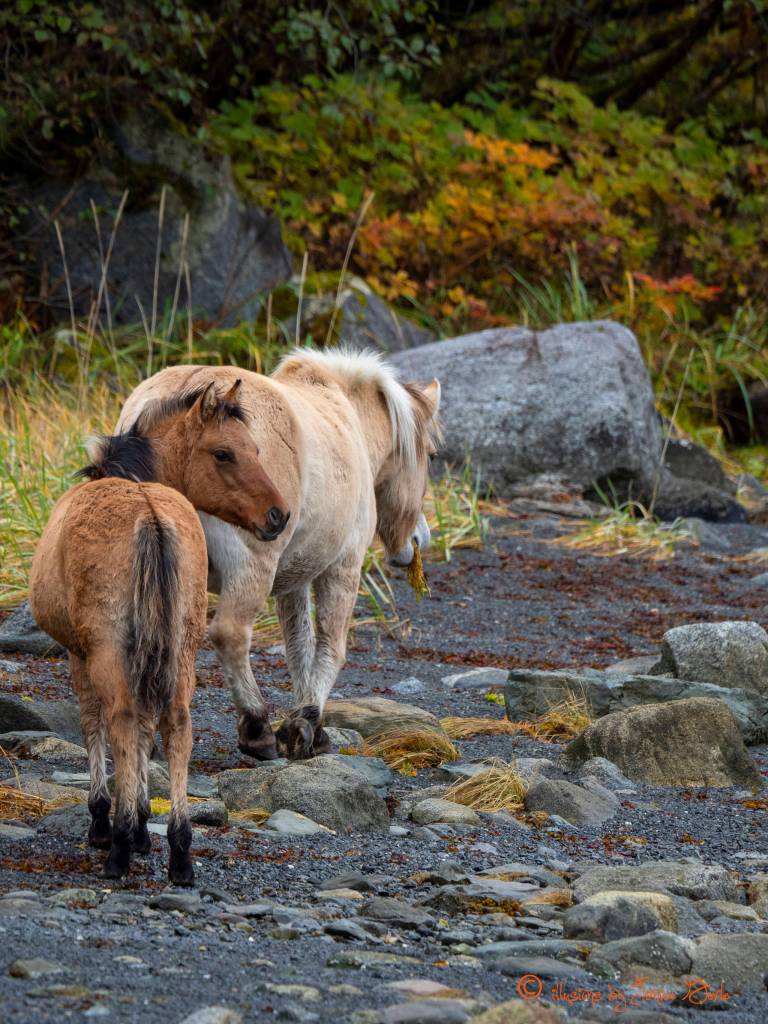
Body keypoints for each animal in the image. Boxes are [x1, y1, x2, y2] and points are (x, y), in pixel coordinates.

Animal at [29, 383, 290, 883]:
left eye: (254, 450)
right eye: (225, 452)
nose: (279, 516)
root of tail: (149, 515)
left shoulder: (79, 654)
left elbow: (96, 727)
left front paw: (110, 822)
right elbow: (148, 737)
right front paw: (145, 824)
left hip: (110, 651)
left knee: (122, 719)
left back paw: (118, 845)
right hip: (180, 649)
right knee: (177, 726)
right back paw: (180, 850)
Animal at [117, 348, 441, 761]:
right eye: (431, 456)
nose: (420, 538)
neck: (347, 422)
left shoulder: (293, 581)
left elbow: (299, 647)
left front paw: (311, 726)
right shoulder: (342, 568)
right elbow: (330, 648)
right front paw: (305, 724)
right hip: (251, 569)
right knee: (230, 635)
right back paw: (257, 729)